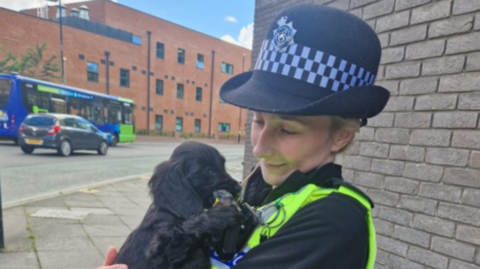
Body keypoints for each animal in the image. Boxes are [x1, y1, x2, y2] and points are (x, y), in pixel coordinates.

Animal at [114, 141, 242, 266]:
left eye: (223, 166)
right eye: (208, 170)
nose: (239, 188)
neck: (176, 211)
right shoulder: (159, 251)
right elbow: (185, 229)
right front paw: (221, 214)